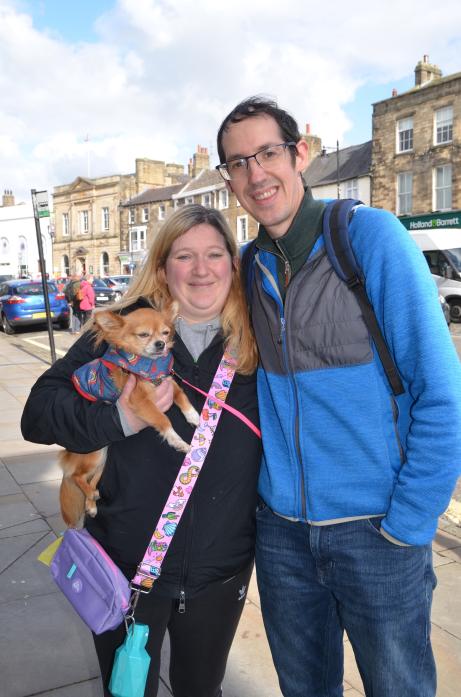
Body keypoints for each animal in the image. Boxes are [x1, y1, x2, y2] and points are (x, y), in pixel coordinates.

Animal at [59, 306, 199, 528]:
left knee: (90, 479)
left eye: (165, 333)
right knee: (76, 476)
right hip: (93, 454)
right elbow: (163, 420)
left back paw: (91, 503)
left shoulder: (167, 382)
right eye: (143, 335)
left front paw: (194, 416)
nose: (160, 344)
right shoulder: (140, 402)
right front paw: (177, 441)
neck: (148, 365)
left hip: (103, 456)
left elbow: (181, 396)